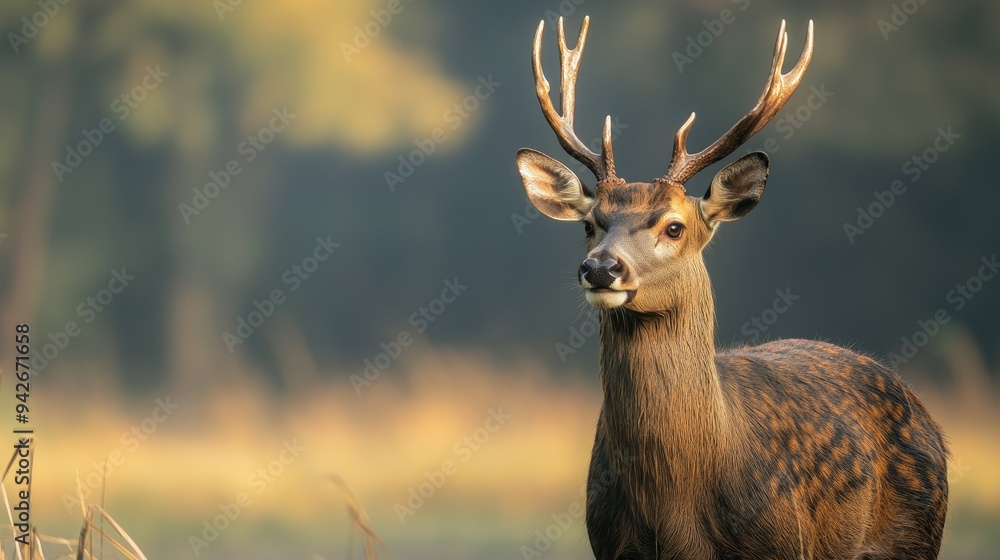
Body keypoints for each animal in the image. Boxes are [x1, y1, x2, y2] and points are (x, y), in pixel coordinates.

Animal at [515, 16, 949, 560]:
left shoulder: (782, 542)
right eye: (591, 224)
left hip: (917, 533)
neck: (673, 515)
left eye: (674, 227)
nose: (600, 268)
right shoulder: (610, 544)